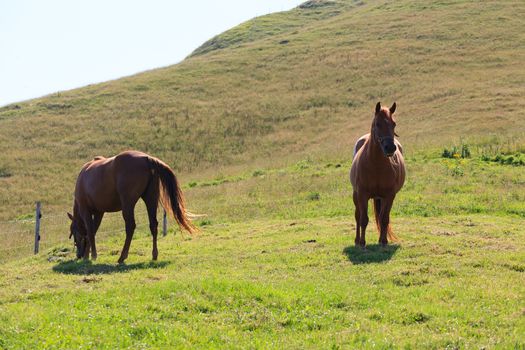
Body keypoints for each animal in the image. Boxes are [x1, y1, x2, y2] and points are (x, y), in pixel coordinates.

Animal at [350, 102, 408, 246]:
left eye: (394, 123)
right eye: (377, 124)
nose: (390, 148)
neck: (376, 165)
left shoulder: (389, 196)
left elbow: (384, 219)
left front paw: (383, 241)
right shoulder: (362, 194)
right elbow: (363, 219)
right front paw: (362, 243)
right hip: (356, 195)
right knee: (357, 215)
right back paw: (357, 240)